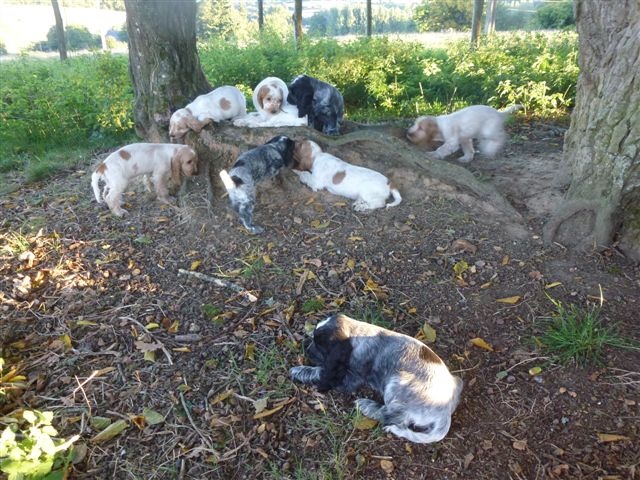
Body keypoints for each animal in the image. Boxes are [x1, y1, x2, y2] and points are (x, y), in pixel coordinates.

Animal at [292, 314, 464, 444]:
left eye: (319, 346)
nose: (305, 345)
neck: (357, 334)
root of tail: (445, 412)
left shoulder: (349, 378)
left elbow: (320, 373)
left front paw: (298, 370)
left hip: (396, 383)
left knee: (391, 416)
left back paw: (366, 405)